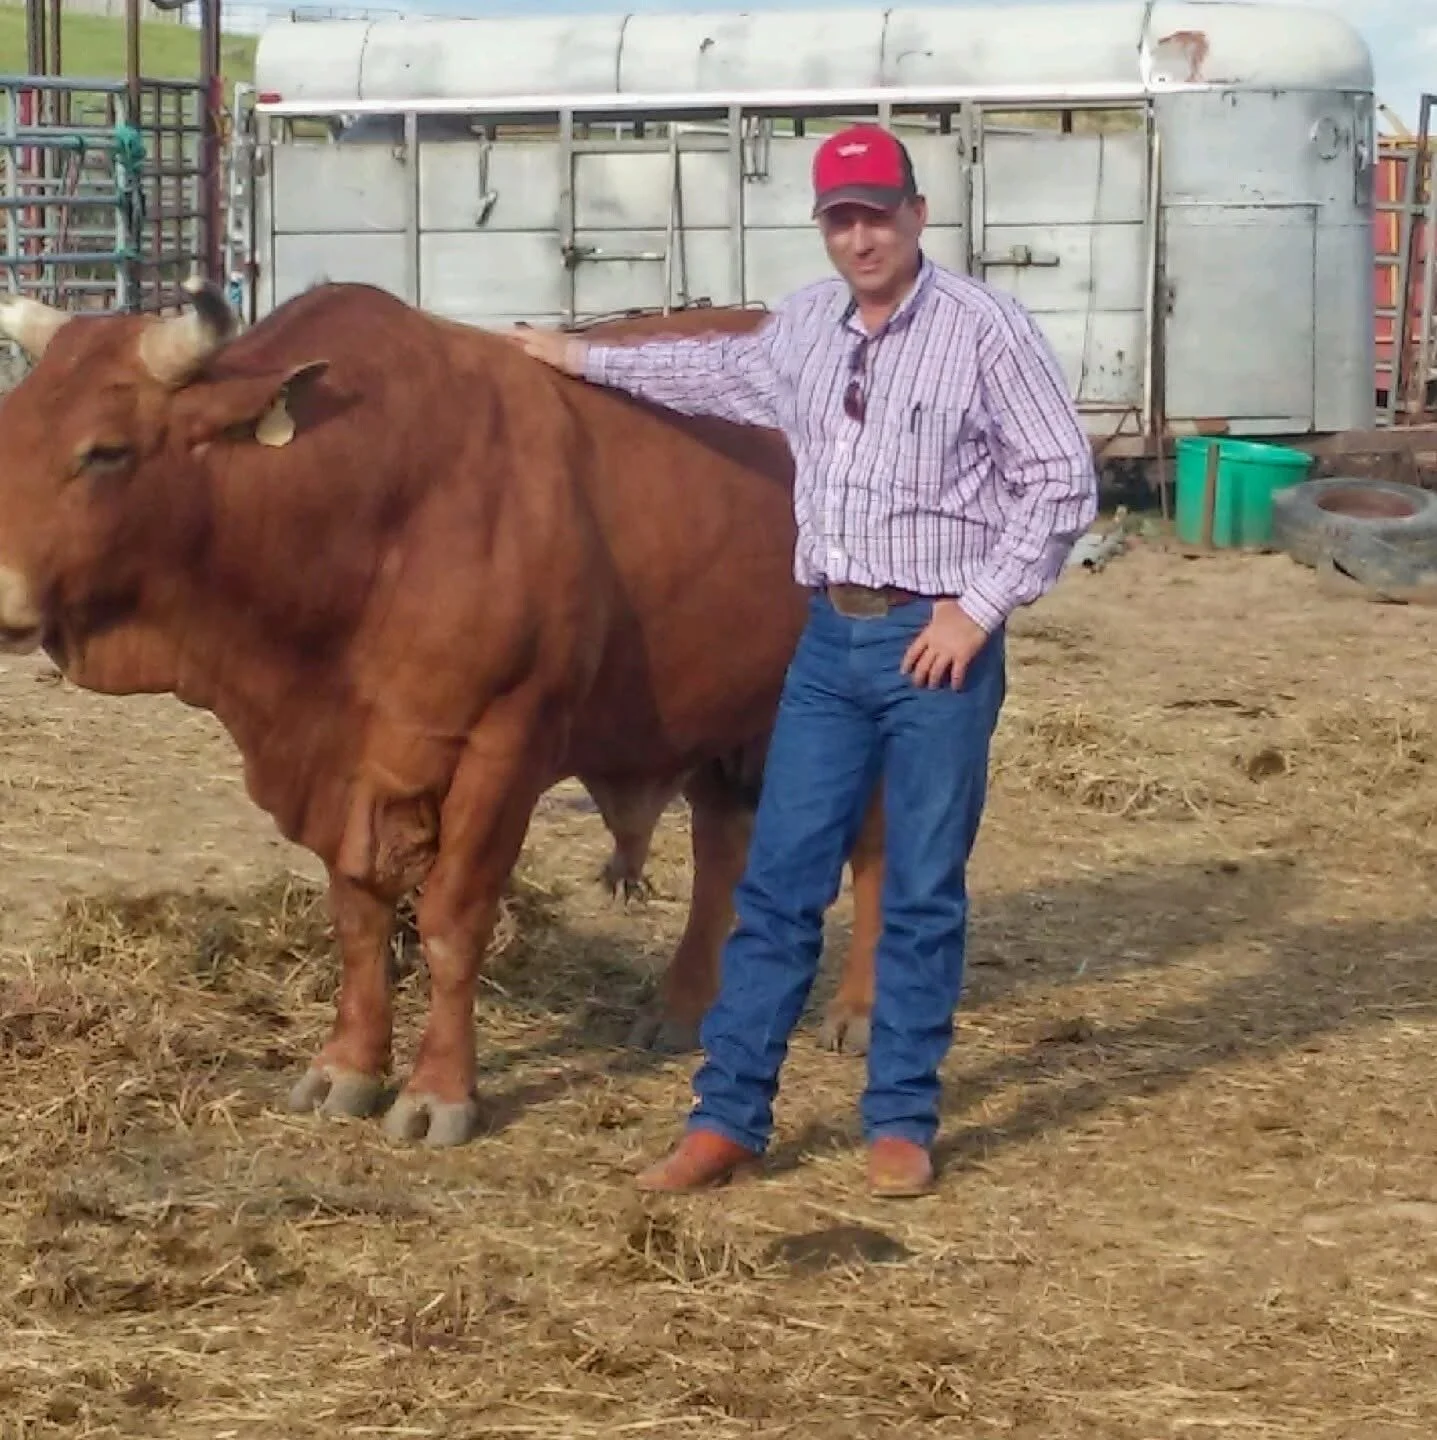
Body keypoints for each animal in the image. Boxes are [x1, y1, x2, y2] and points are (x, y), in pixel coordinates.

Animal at [0, 279, 883, 1147]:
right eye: (9, 430)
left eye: (105, 451)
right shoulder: (346, 773)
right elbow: (360, 921)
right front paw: (348, 1067)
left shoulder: (502, 749)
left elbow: (453, 919)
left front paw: (438, 1093)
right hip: (722, 709)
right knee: (720, 841)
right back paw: (681, 1009)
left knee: (871, 845)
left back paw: (857, 1012)